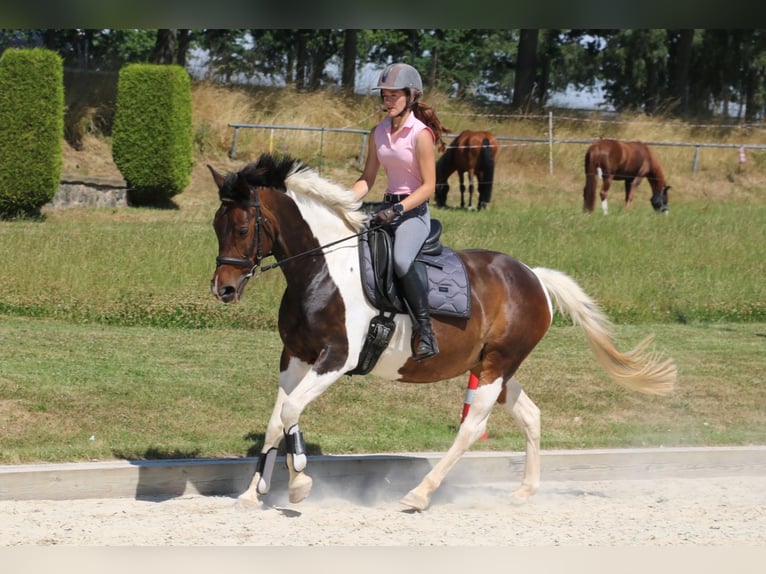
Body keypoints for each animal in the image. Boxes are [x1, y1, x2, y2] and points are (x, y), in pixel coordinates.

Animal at [209, 152, 677, 511]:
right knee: (530, 415)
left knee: (471, 428)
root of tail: (534, 278)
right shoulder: (294, 356)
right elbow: (277, 420)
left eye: (244, 228)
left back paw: (420, 494)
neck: (322, 269)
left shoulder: (335, 359)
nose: (223, 290)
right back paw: (524, 491)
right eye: (217, 225)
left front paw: (300, 483)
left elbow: (290, 411)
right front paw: (253, 493)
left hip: (494, 367)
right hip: (496, 368)